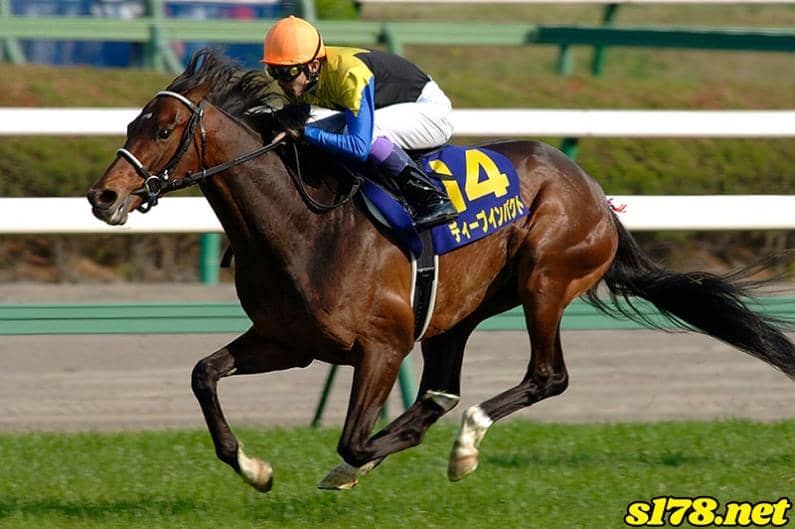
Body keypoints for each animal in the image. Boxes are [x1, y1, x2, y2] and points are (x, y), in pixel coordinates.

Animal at [86, 50, 794, 492]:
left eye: (165, 129)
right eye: (132, 121)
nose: (103, 195)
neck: (301, 226)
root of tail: (594, 191)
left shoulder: (382, 345)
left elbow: (354, 442)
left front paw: (356, 467)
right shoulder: (287, 342)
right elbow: (204, 374)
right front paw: (255, 469)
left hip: (545, 279)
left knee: (545, 377)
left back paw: (465, 446)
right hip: (458, 312)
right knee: (443, 389)